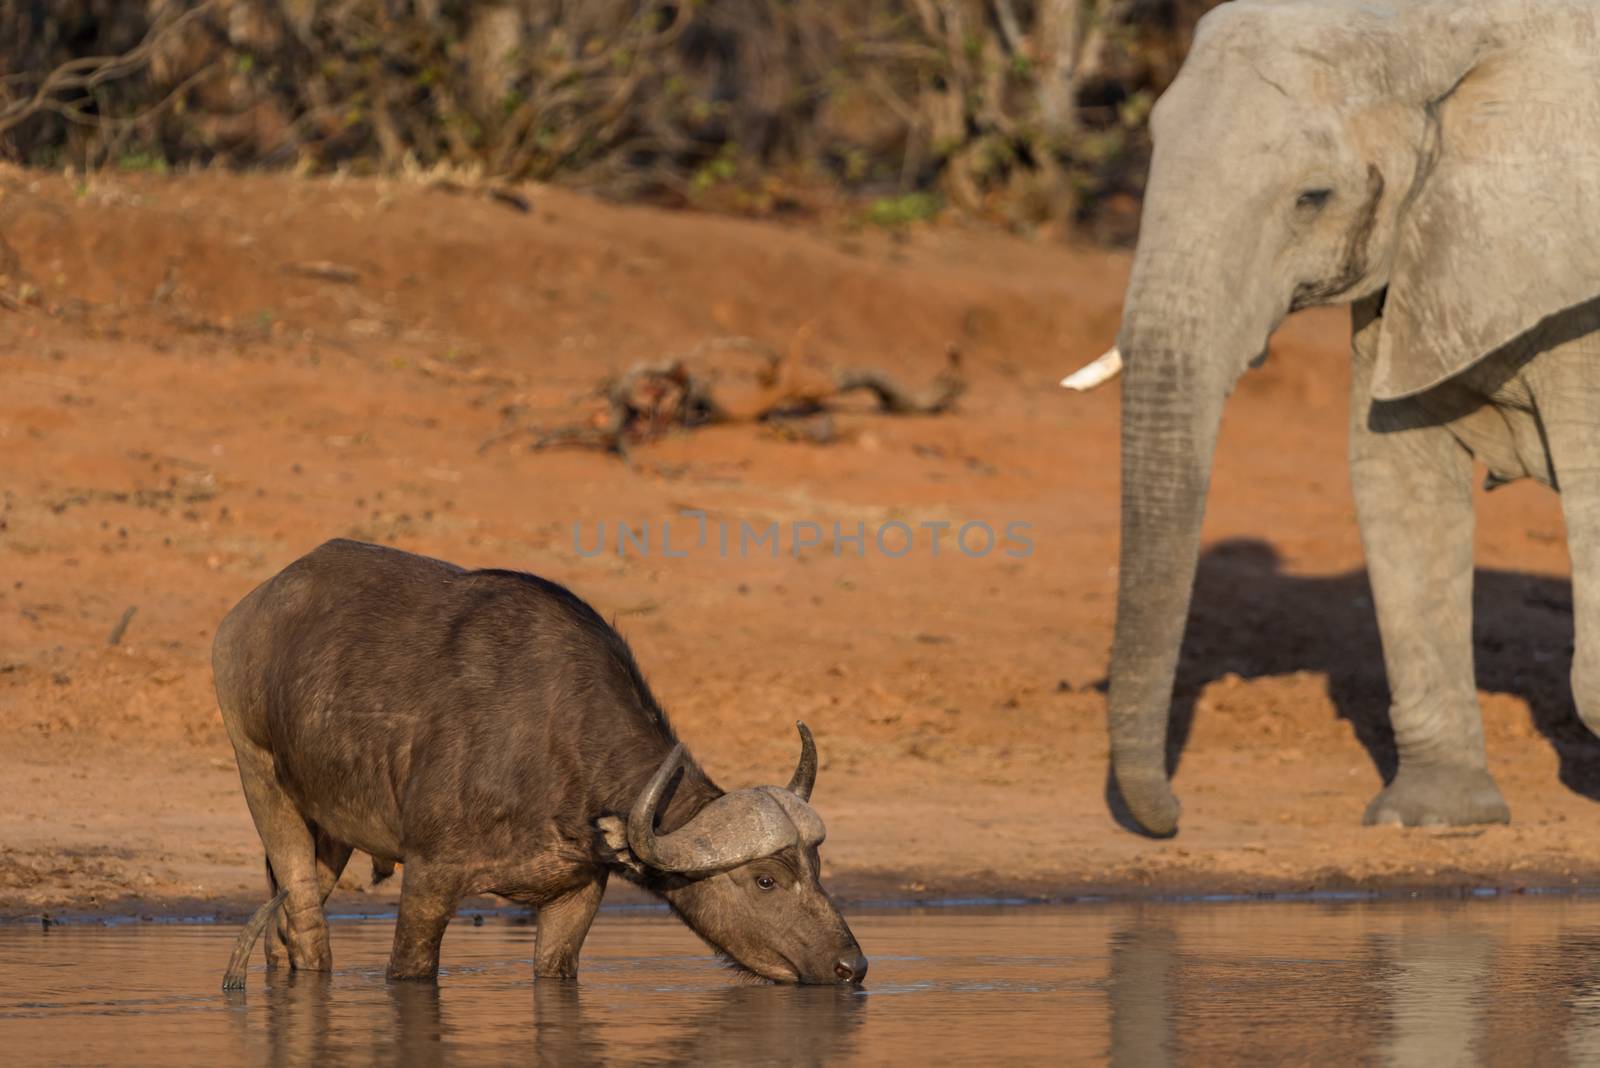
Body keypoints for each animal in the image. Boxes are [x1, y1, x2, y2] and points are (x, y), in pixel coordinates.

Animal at [217, 543, 870, 991]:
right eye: (765, 880)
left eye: (817, 868)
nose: (853, 966)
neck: (556, 747)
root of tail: (245, 615)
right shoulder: (429, 876)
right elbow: (409, 967)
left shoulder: (576, 894)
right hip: (260, 779)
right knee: (305, 922)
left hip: (329, 828)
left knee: (281, 928)